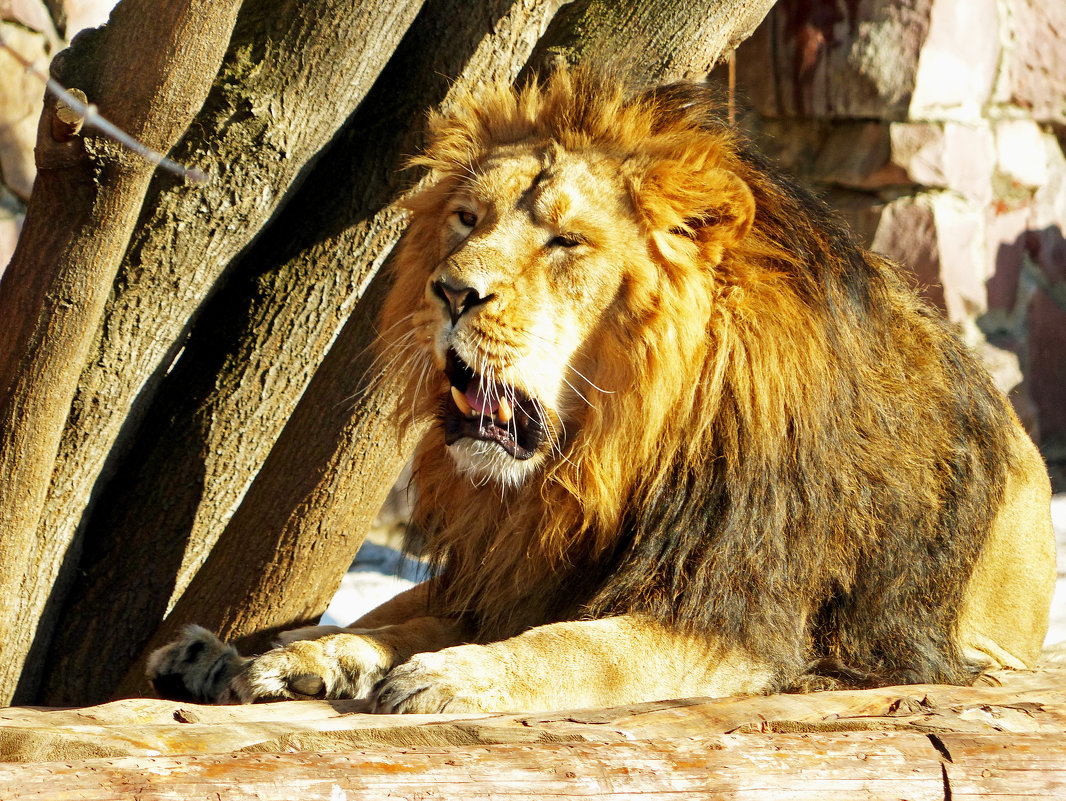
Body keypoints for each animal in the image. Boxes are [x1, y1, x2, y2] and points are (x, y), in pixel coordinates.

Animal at [148, 67, 1057, 708]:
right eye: (467, 220)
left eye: (564, 241)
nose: (452, 291)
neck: (609, 456)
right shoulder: (521, 574)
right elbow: (421, 622)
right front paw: (316, 656)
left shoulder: (738, 618)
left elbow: (581, 646)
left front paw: (459, 676)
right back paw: (227, 655)